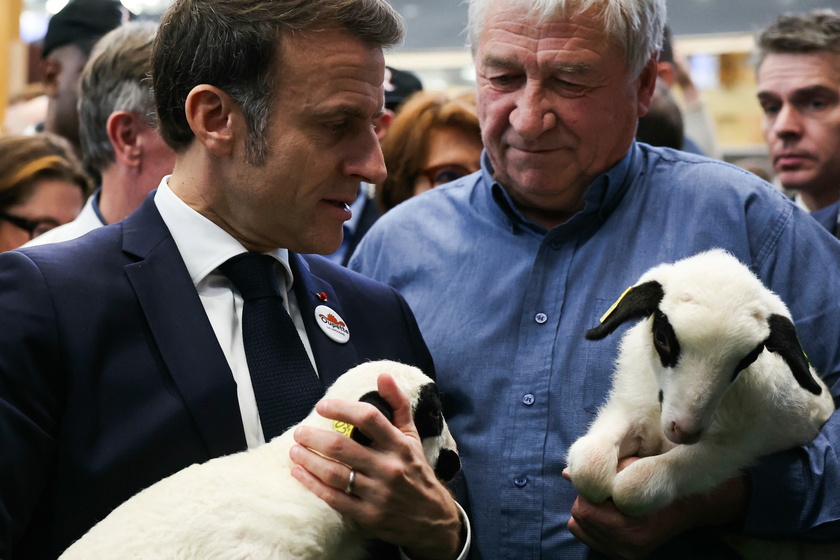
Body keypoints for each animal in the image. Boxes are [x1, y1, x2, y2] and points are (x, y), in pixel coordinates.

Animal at [564, 249, 832, 520]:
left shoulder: (730, 451)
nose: (685, 430)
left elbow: (634, 486)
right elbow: (590, 465)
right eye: (661, 338)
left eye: (749, 358)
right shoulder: (629, 406)